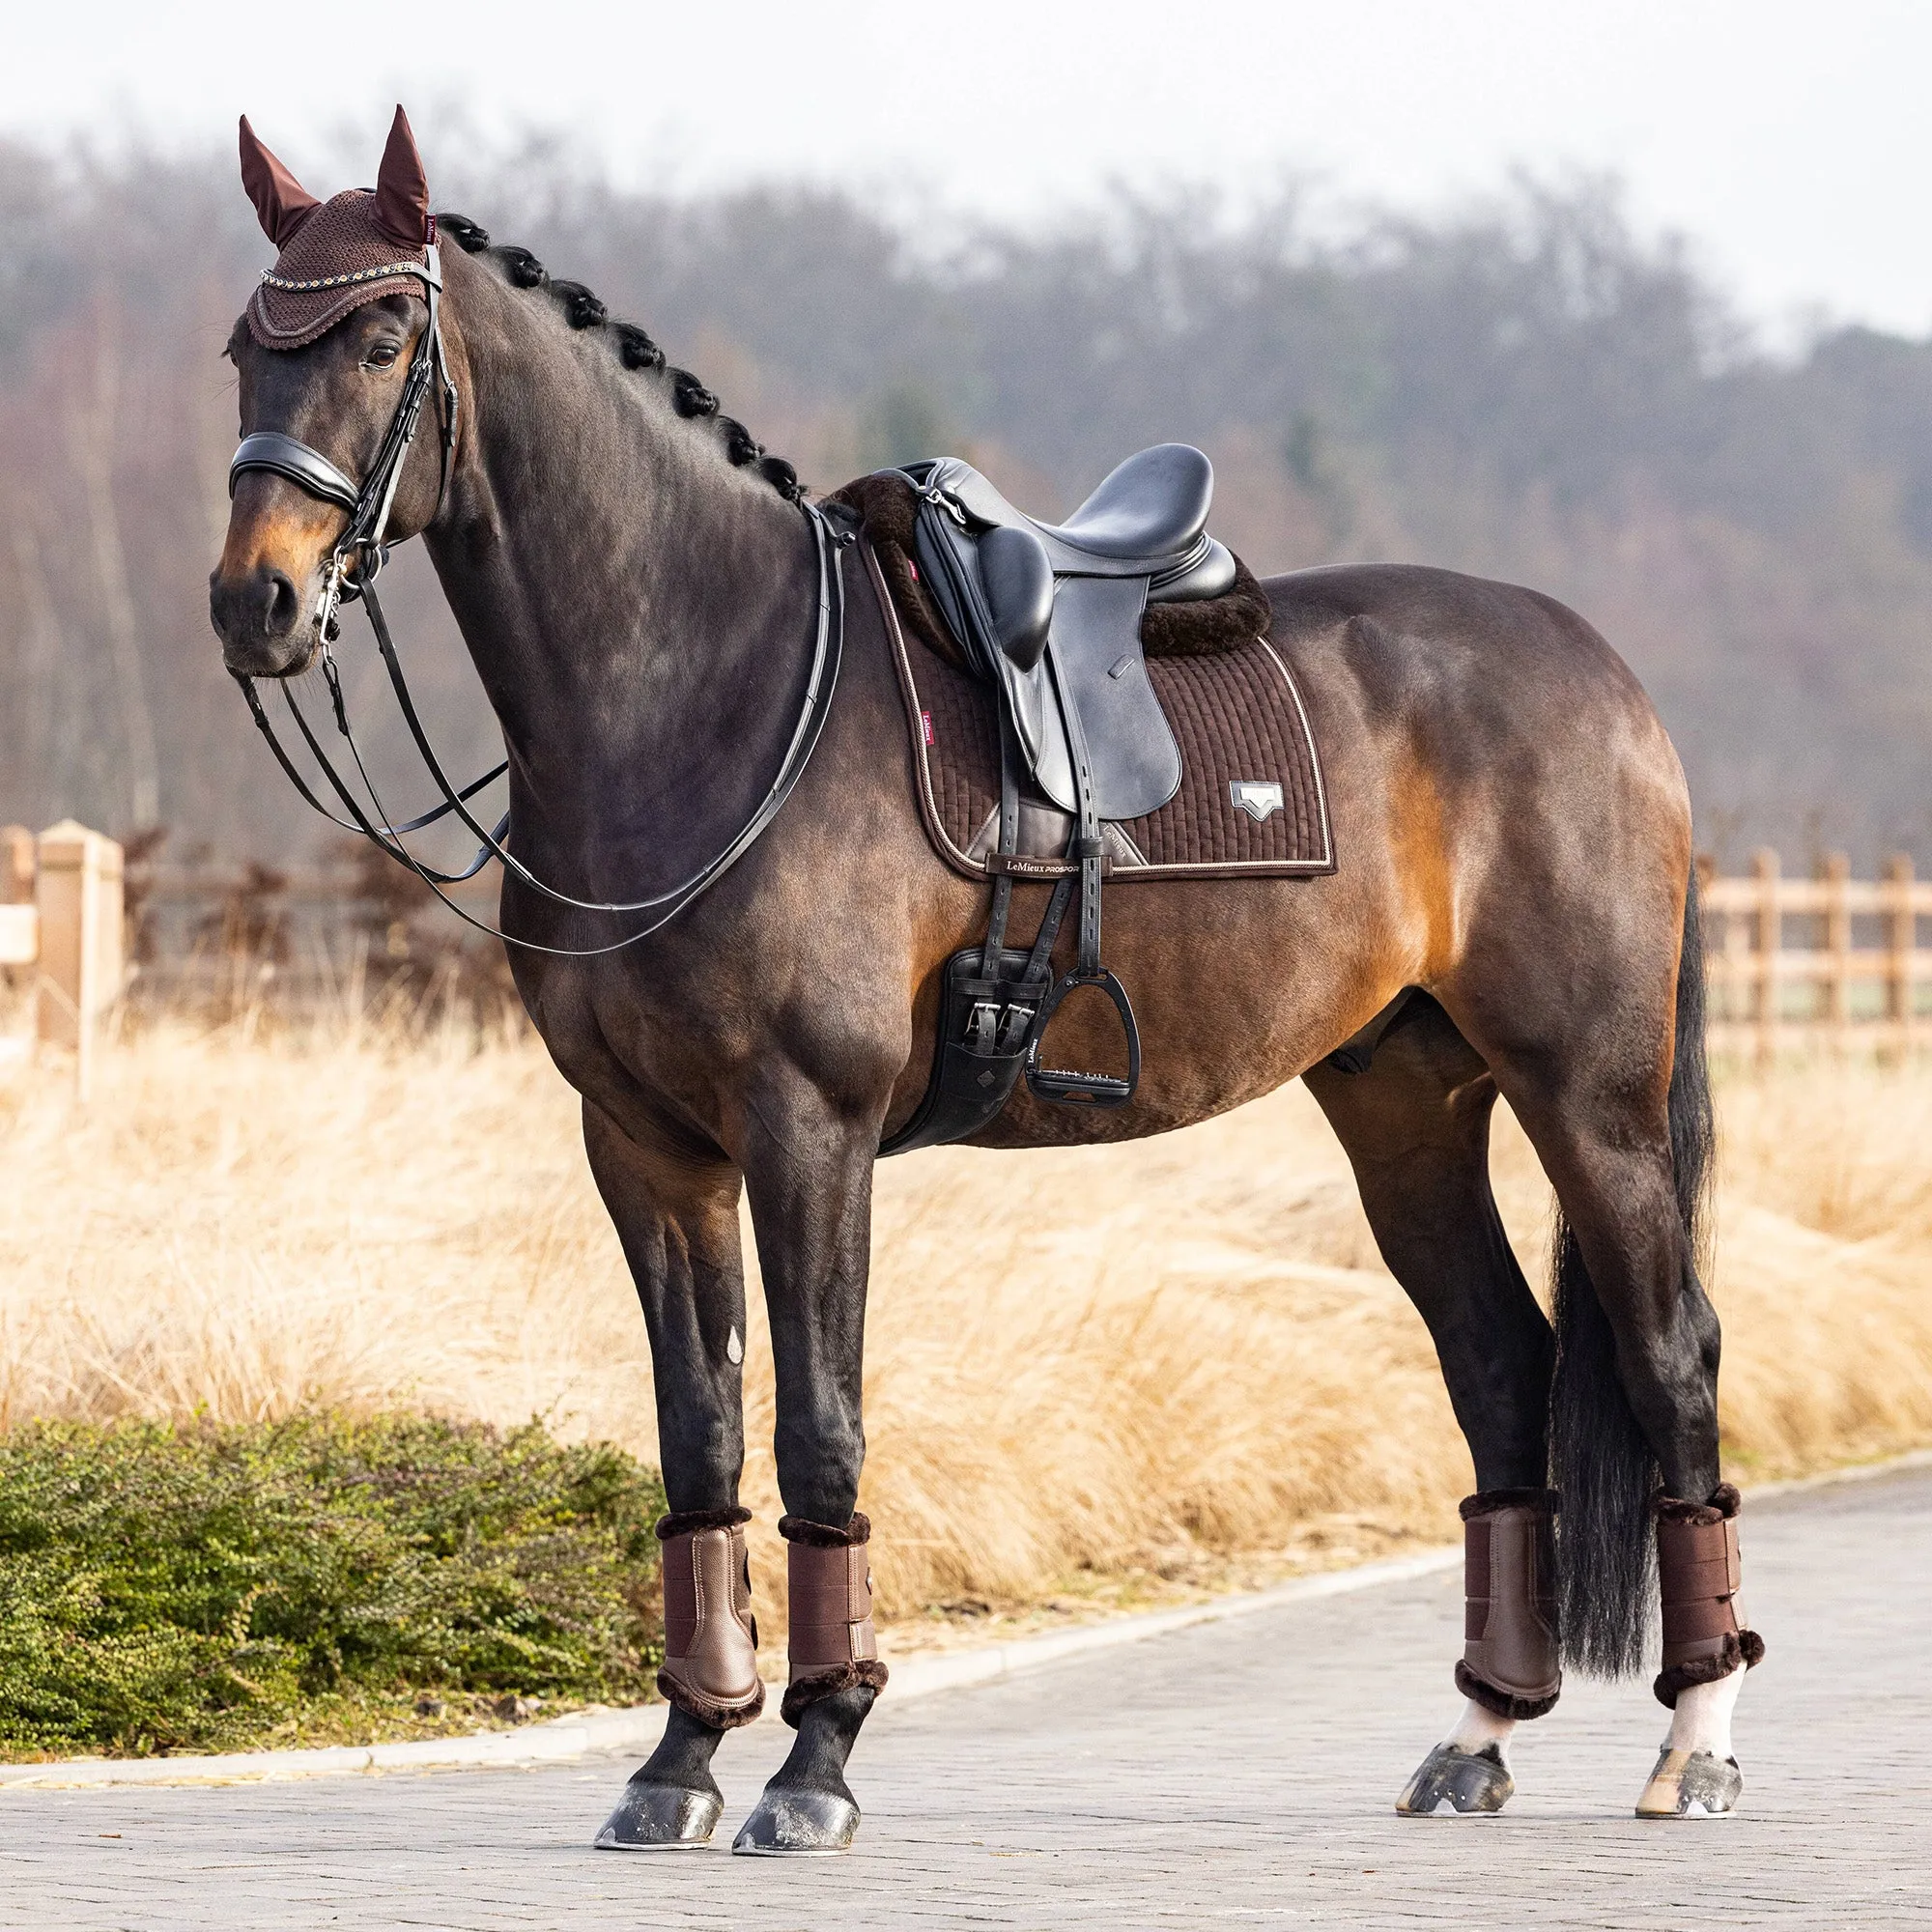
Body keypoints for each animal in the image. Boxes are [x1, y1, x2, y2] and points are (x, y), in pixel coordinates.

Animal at [204, 109, 1762, 1855]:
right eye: (244, 352)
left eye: (380, 338)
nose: (257, 601)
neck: (706, 689)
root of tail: (1608, 677)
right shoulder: (646, 1148)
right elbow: (696, 1440)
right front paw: (679, 1760)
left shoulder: (807, 1129)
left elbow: (817, 1426)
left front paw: (814, 1761)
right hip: (1406, 1104)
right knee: (1501, 1367)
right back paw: (1480, 1732)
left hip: (1591, 1098)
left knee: (1672, 1357)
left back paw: (1696, 1738)